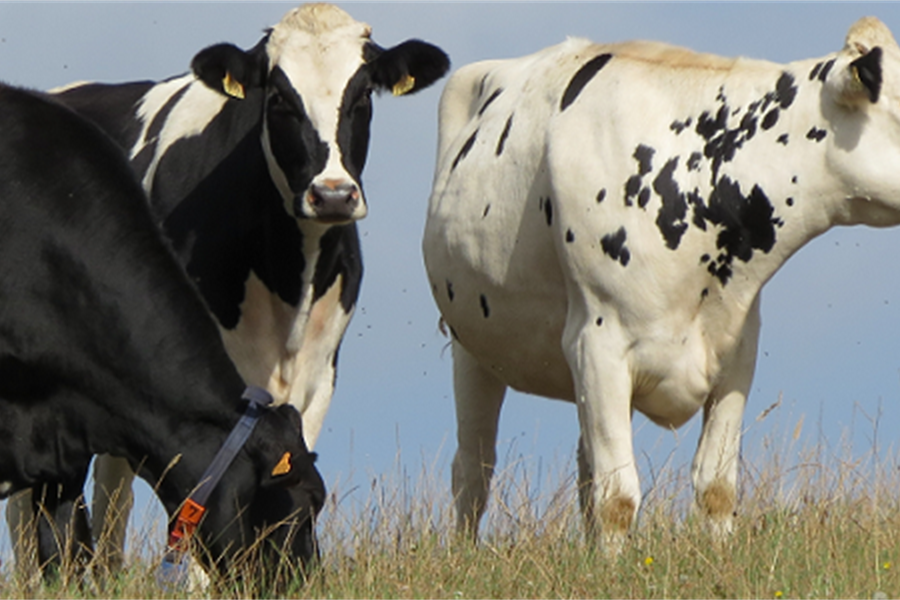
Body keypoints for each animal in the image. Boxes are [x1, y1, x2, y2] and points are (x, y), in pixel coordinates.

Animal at [26, 2, 448, 564]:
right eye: (279, 98)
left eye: (361, 95)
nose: (333, 194)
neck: (289, 284)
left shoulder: (318, 377)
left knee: (111, 493)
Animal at [426, 16, 900, 552]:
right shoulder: (597, 342)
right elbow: (617, 498)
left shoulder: (736, 349)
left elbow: (715, 485)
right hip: (470, 344)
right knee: (473, 468)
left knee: (583, 468)